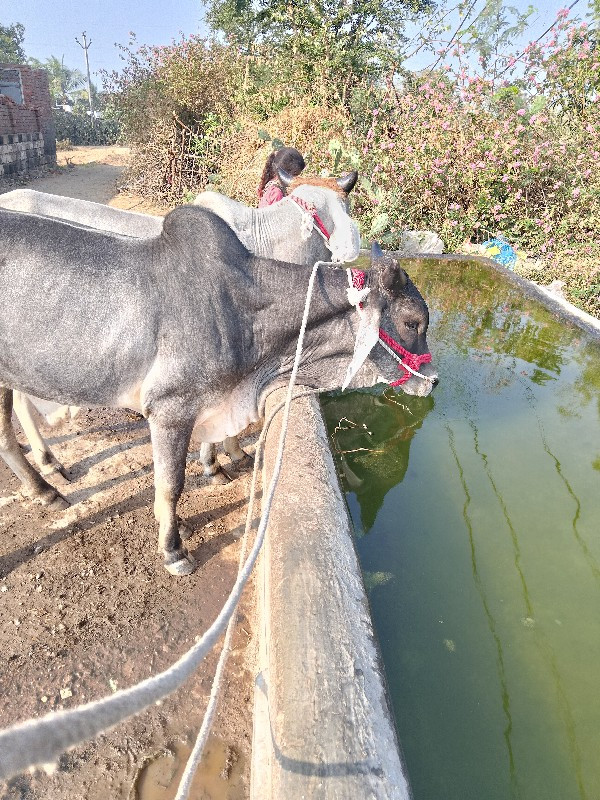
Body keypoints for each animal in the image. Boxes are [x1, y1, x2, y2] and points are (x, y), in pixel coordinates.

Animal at [0, 203, 434, 572]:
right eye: (412, 322)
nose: (433, 382)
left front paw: (209, 479)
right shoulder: (169, 411)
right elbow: (170, 484)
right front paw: (174, 550)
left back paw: (44, 489)